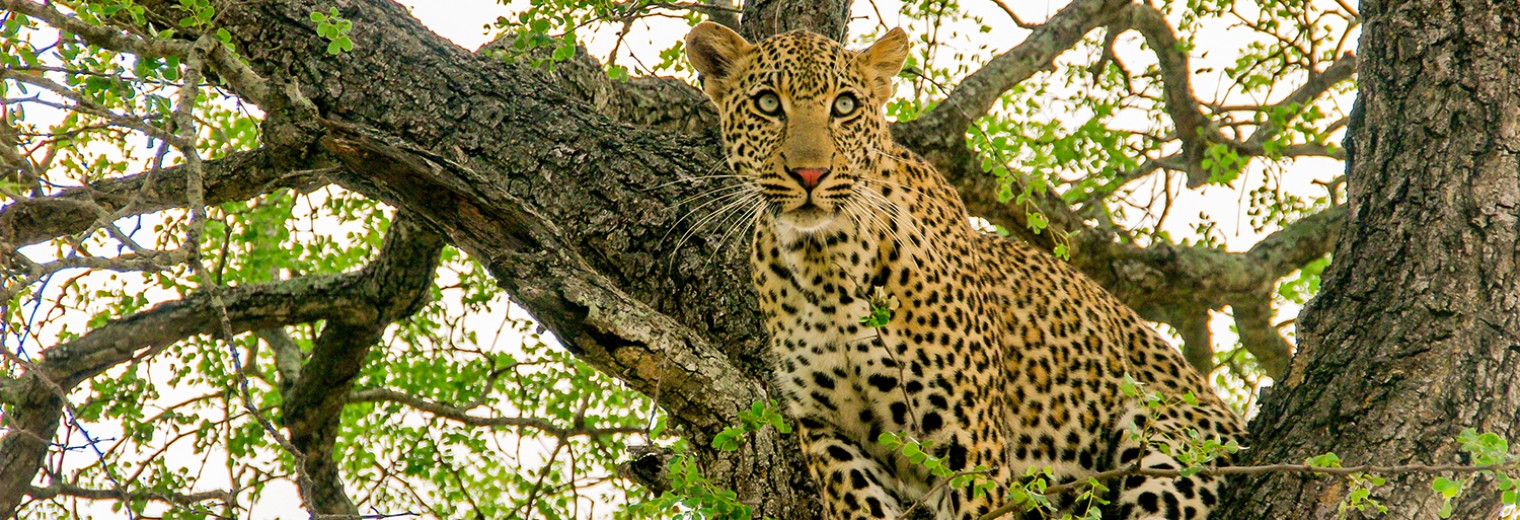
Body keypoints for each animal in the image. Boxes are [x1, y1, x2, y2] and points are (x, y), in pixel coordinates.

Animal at [690, 21, 1246, 520]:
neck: (826, 265)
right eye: (768, 103)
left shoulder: (965, 442)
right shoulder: (832, 436)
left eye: (844, 106)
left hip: (1164, 441)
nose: (810, 174)